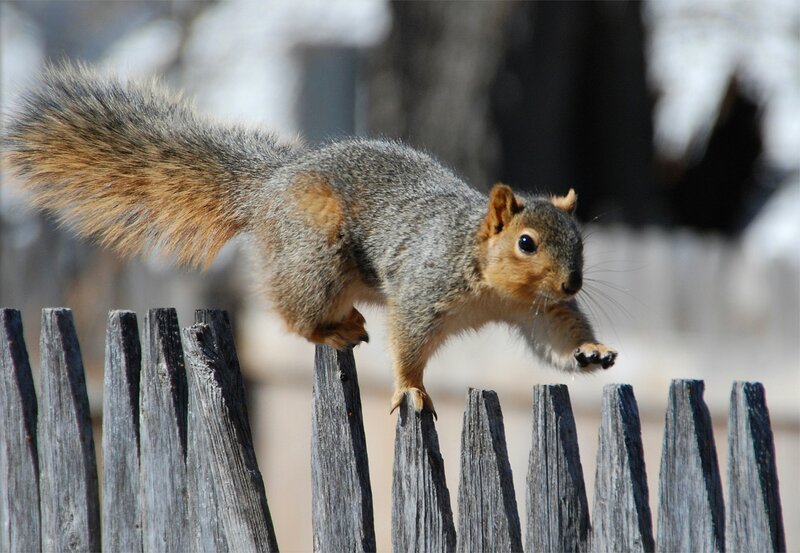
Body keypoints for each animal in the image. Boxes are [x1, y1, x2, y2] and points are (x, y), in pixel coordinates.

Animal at [2, 64, 616, 414]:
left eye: (580, 241)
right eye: (526, 243)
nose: (572, 282)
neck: (491, 284)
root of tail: (268, 188)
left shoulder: (537, 310)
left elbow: (555, 336)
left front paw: (590, 351)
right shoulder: (424, 289)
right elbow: (409, 344)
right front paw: (411, 390)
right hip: (316, 256)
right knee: (292, 313)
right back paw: (332, 328)